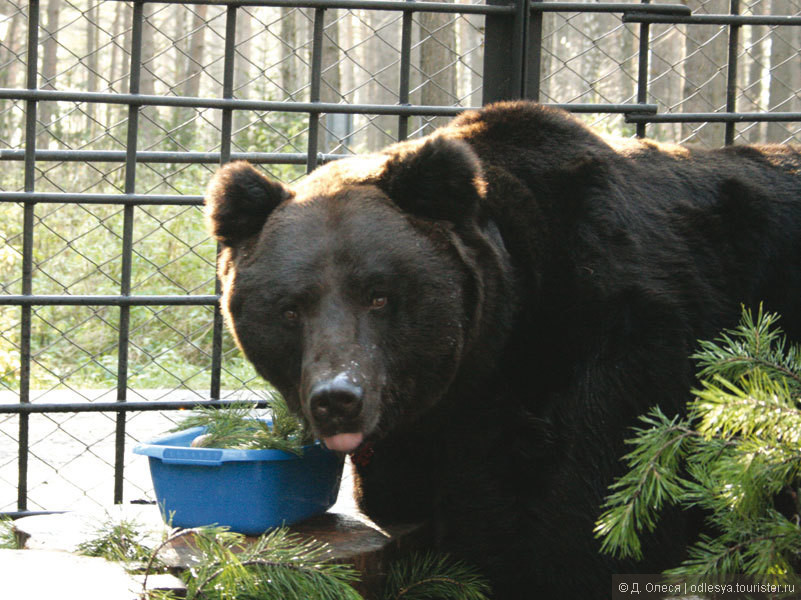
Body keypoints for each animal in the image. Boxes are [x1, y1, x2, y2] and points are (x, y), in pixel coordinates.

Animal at [205, 101, 800, 596]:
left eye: (378, 295)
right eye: (291, 308)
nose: (338, 398)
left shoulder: (619, 345)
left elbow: (586, 520)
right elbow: (408, 496)